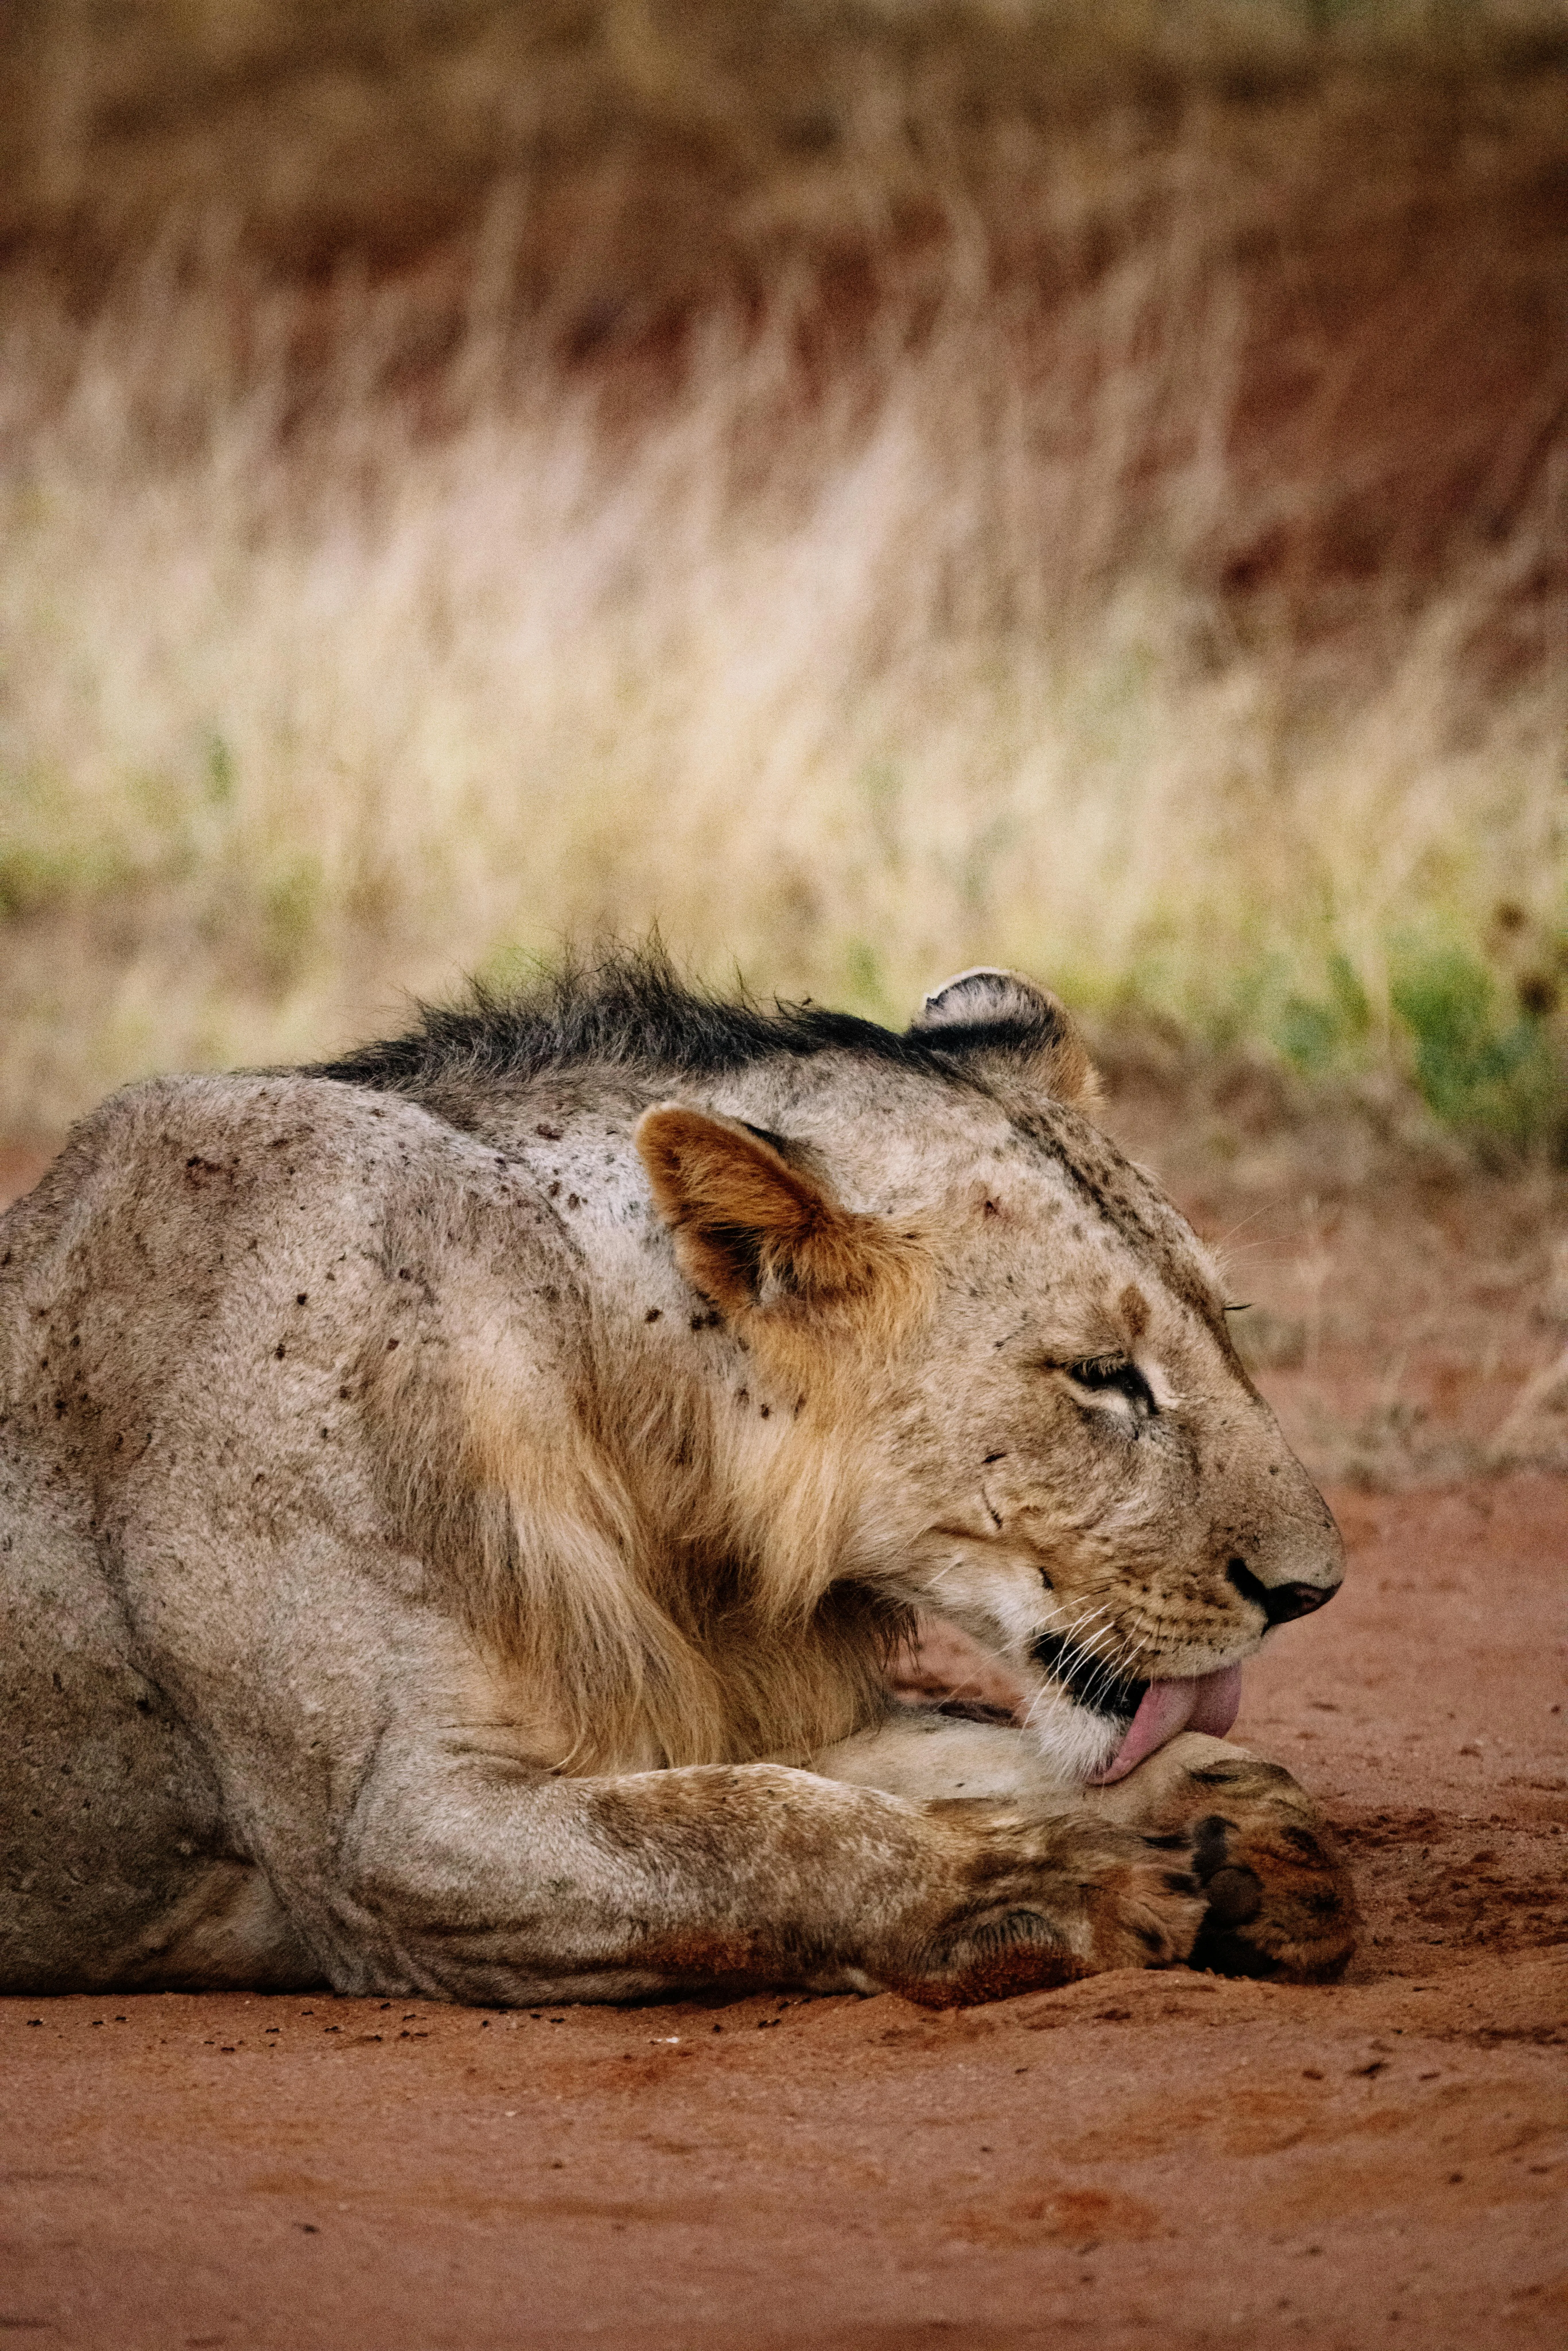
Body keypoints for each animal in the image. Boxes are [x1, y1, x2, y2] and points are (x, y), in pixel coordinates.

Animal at [0, 951, 1355, 2005]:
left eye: (1223, 1319)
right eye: (1100, 1376)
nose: (1314, 1592)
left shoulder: (745, 1703)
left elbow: (948, 1758)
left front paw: (1246, 1824)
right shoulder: (379, 1842)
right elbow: (748, 1830)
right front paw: (1056, 1889)